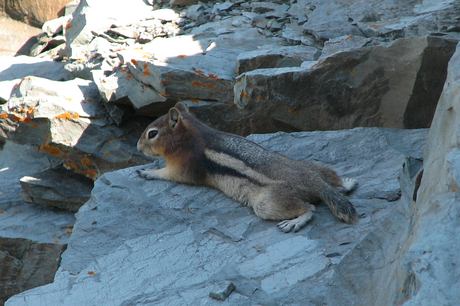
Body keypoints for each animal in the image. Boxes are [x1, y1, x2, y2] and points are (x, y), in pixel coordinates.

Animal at [137, 102, 360, 232]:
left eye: (152, 134)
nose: (138, 147)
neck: (193, 135)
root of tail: (315, 184)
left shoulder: (186, 166)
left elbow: (170, 174)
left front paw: (148, 172)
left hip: (267, 203)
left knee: (309, 208)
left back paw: (294, 222)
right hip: (315, 167)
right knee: (334, 182)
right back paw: (347, 183)